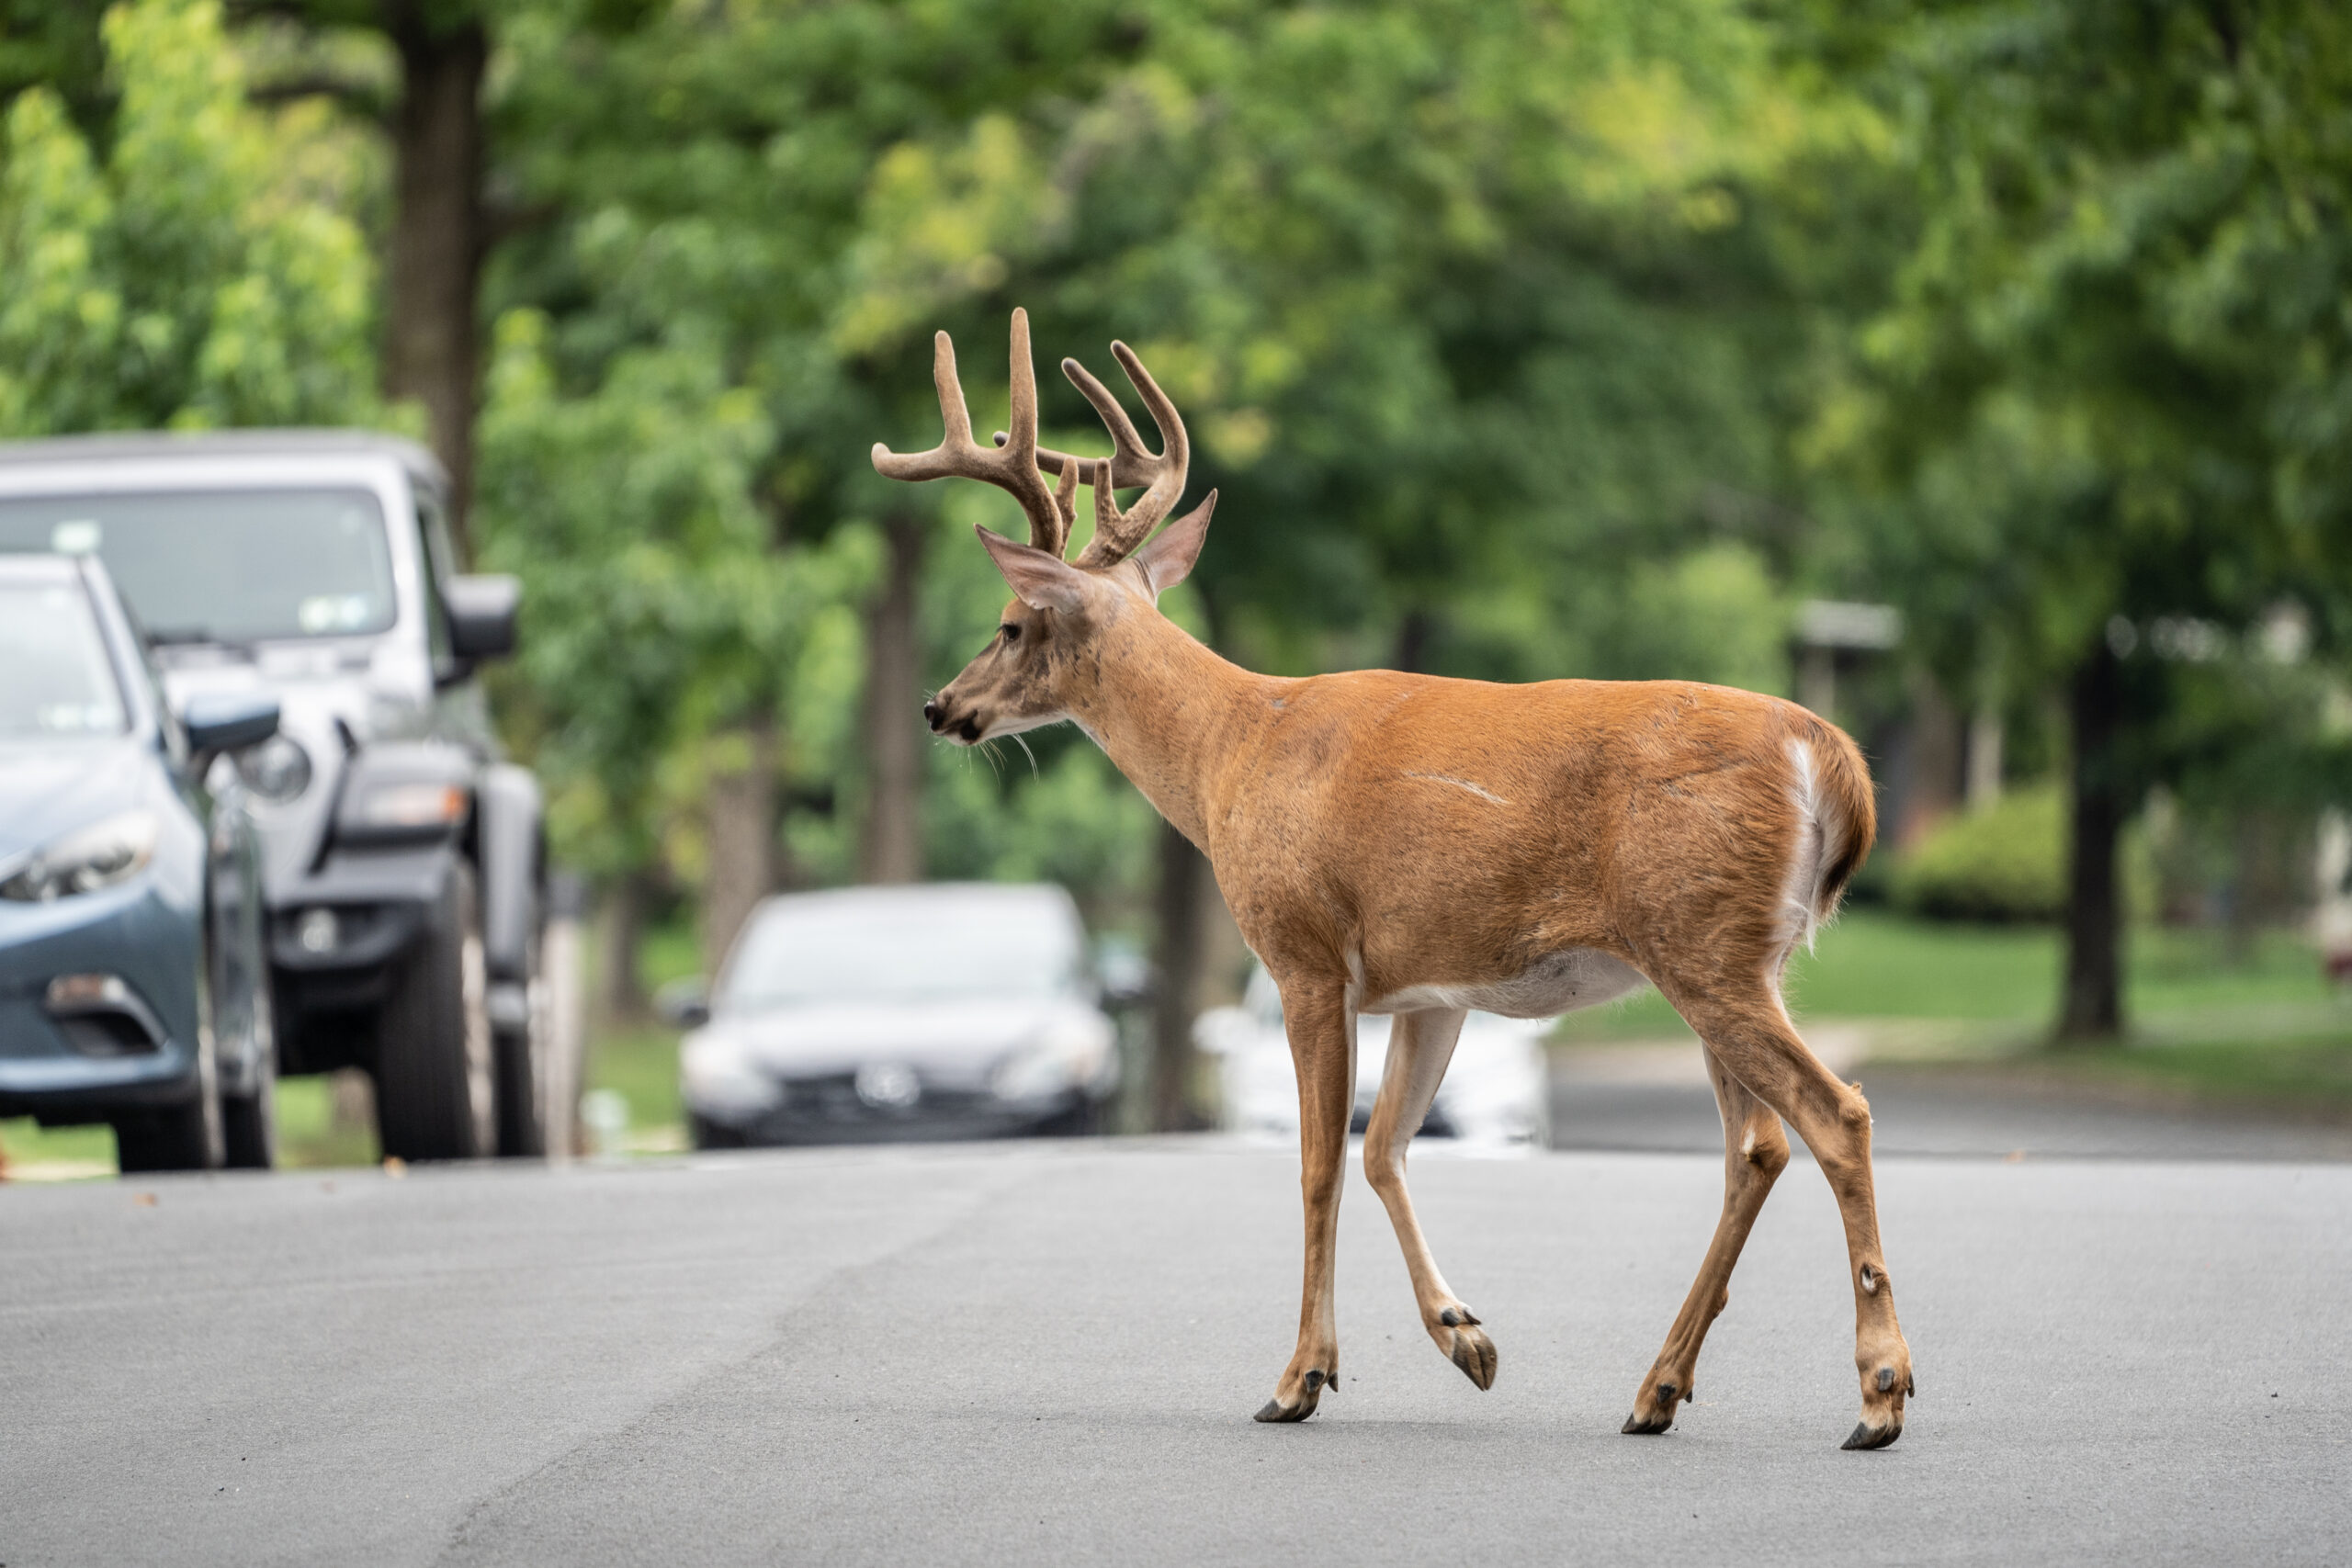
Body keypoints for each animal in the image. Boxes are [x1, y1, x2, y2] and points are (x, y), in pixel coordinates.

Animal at [875, 312, 1918, 1457]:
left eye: (1011, 623)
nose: (940, 706)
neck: (1229, 757)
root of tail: (1833, 756)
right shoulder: (1431, 985)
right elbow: (1384, 1148)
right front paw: (1466, 1337)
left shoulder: (1301, 953)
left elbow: (1317, 1163)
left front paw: (1298, 1378)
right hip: (1729, 956)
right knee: (1756, 1147)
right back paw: (1657, 1389)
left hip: (1704, 946)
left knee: (1835, 1115)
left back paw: (1878, 1392)